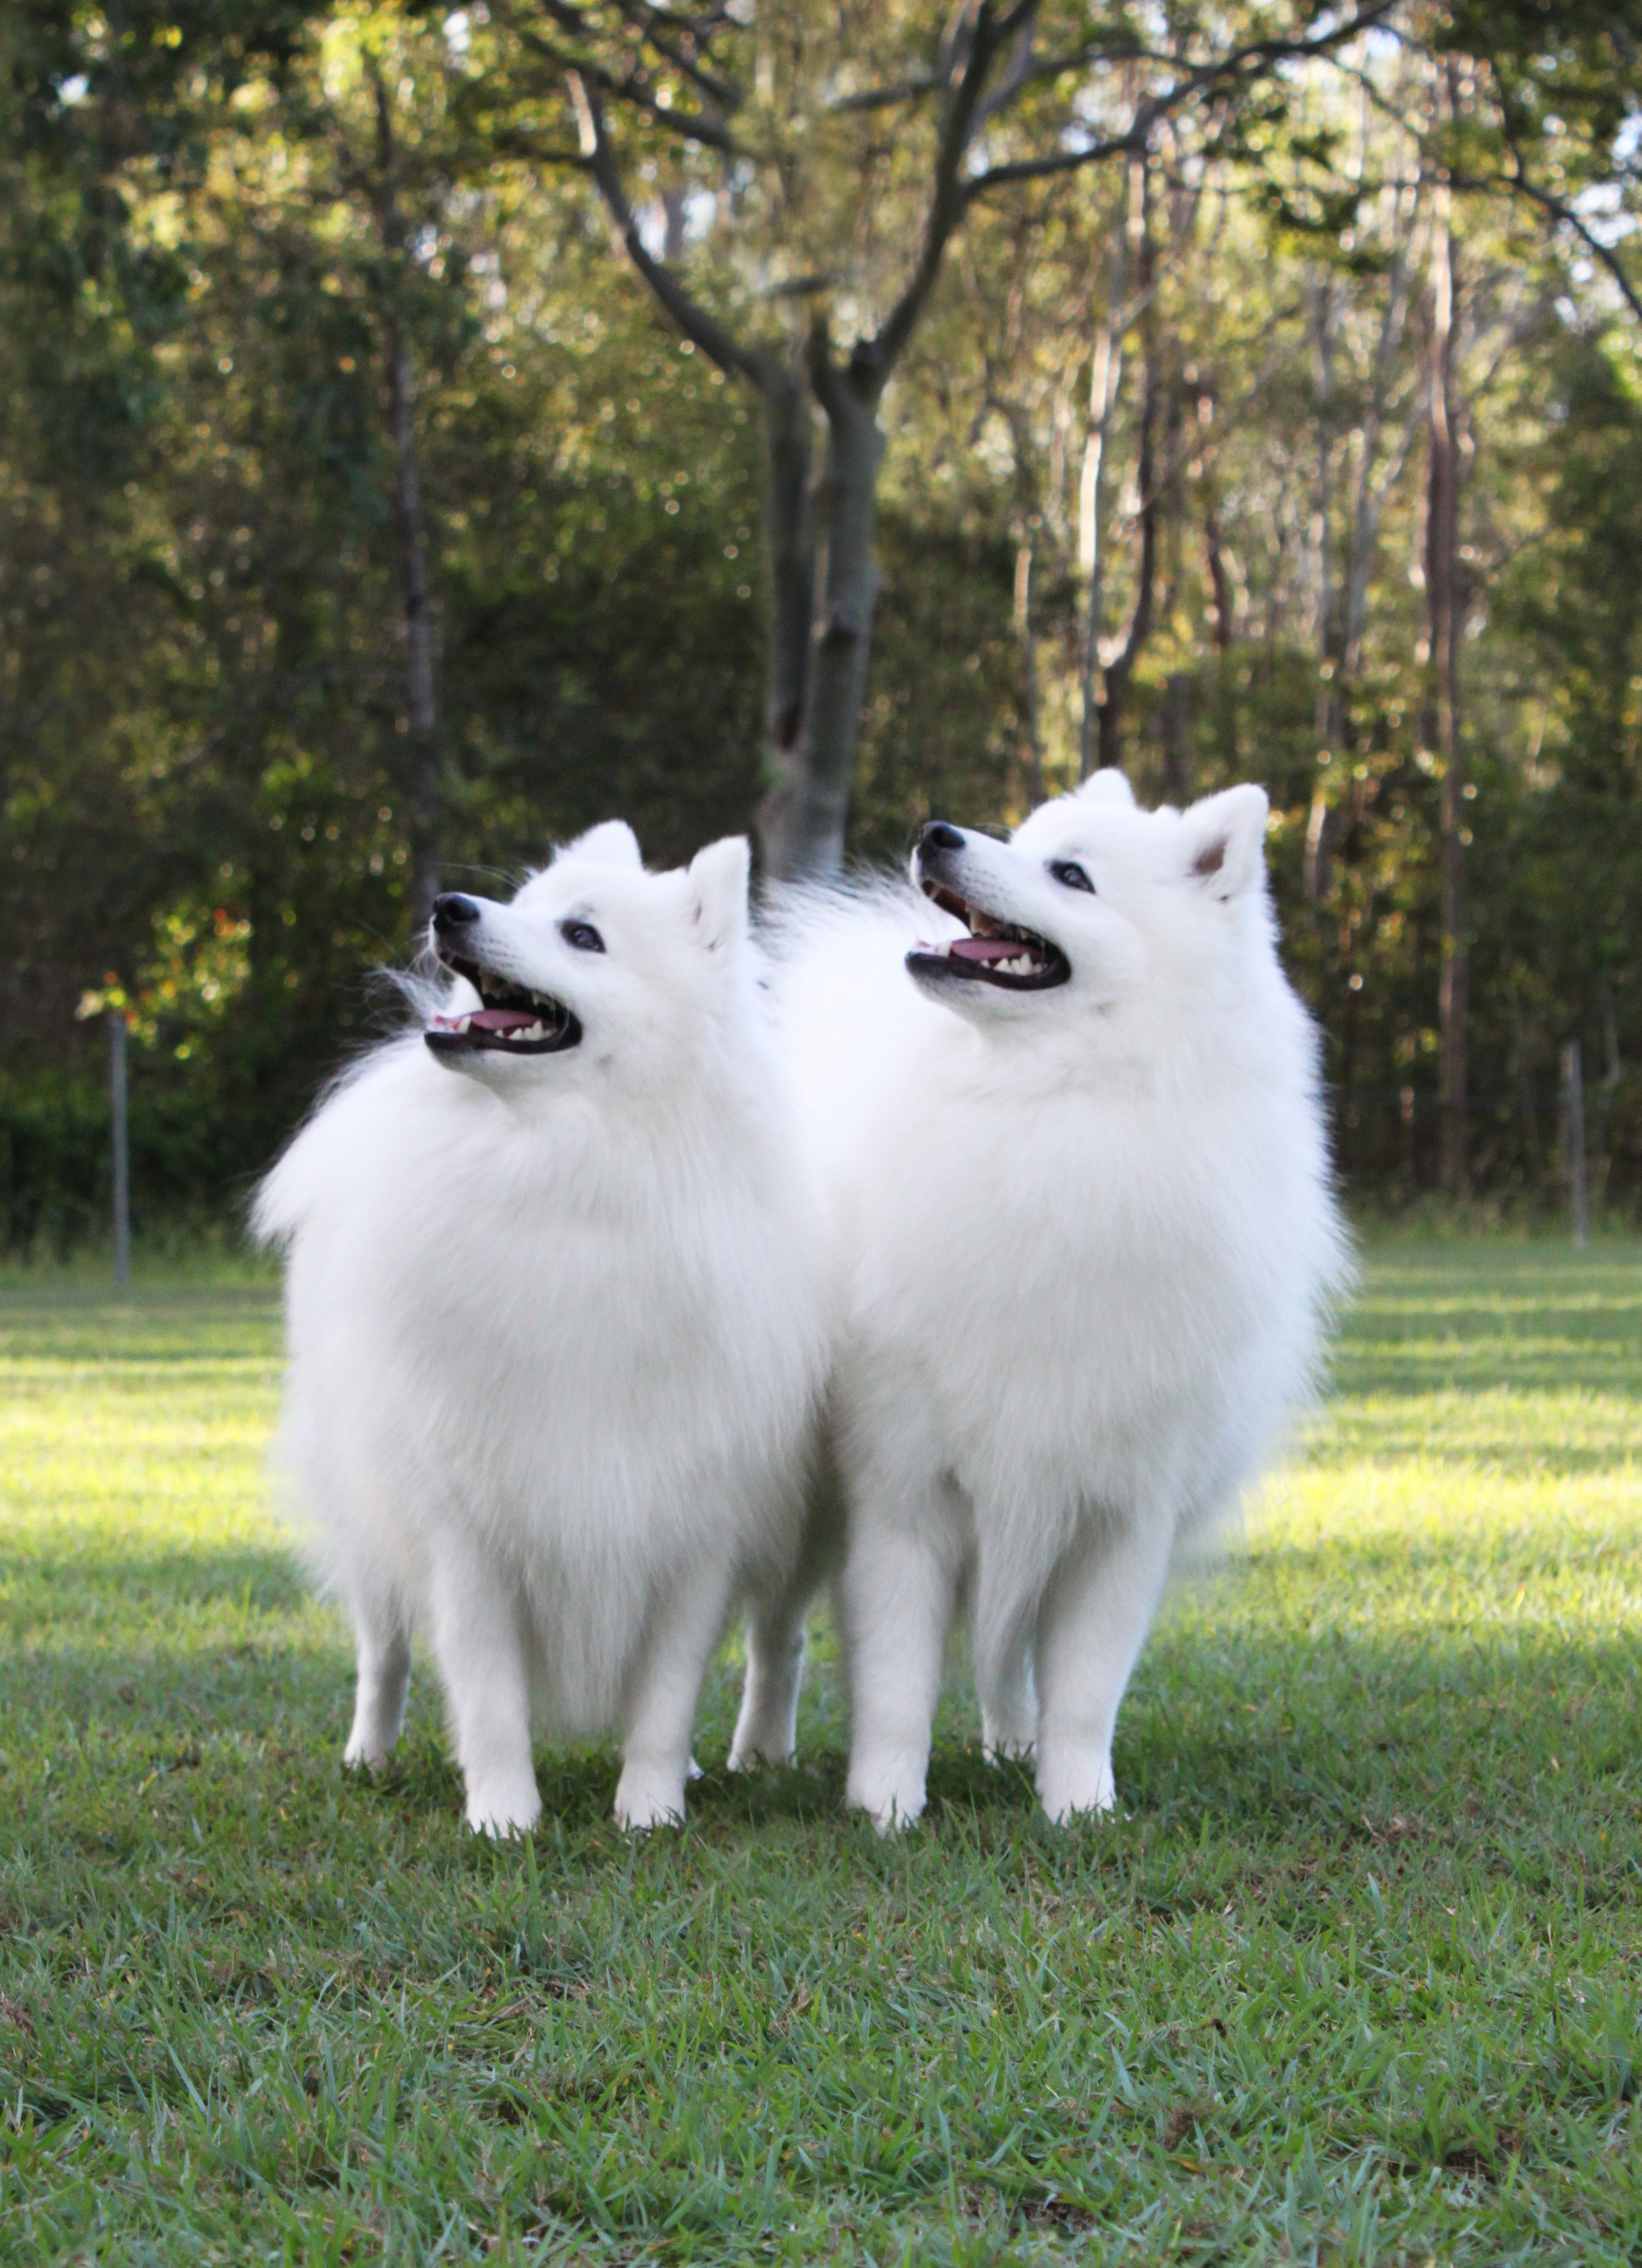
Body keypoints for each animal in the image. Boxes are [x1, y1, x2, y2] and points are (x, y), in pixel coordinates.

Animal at [255, 826, 825, 1832]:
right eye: (522, 904)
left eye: (582, 936)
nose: (451, 908)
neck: (571, 1173)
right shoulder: (468, 1531)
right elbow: (486, 1693)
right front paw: (503, 1816)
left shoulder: (695, 1530)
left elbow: (666, 1693)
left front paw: (650, 1807)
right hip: (369, 1510)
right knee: (383, 1651)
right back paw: (369, 1756)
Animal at [730, 771, 1342, 1832]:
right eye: (1017, 838)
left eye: (1071, 875)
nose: (936, 833)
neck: (1044, 1108)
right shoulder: (904, 1494)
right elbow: (895, 1682)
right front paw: (885, 1809)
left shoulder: (1117, 1511)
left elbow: (1086, 1685)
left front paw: (1078, 1806)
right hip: (802, 1506)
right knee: (777, 1635)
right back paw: (761, 1753)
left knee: (1008, 1645)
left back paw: (1012, 1739)